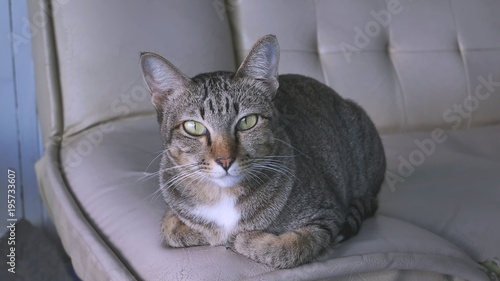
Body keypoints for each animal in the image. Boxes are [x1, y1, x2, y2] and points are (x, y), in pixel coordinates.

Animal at [141, 35, 386, 270]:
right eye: (193, 127)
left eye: (247, 122)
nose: (225, 160)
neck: (223, 196)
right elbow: (171, 229)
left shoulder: (327, 215)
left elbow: (289, 248)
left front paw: (242, 240)